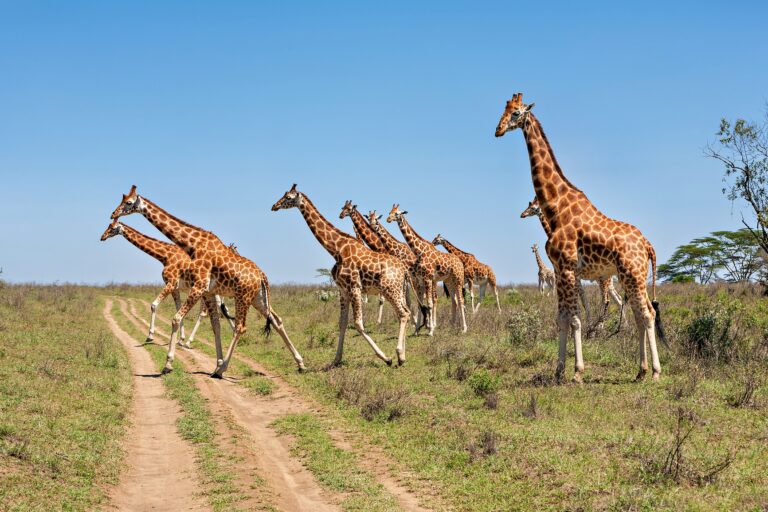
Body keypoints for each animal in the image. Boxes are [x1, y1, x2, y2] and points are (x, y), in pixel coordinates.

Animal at [99, 219, 235, 347]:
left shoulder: (171, 283)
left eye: (112, 228)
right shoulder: (175, 288)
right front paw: (181, 339)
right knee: (224, 309)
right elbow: (178, 308)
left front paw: (150, 336)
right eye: (108, 226)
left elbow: (154, 305)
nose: (102, 237)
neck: (164, 256)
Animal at [271, 185, 412, 366]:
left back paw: (399, 354)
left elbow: (358, 324)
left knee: (403, 314)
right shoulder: (343, 290)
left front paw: (386, 358)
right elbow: (342, 323)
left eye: (288, 197)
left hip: (389, 290)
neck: (336, 250)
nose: (274, 206)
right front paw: (336, 359)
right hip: (398, 290)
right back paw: (404, 355)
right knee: (407, 312)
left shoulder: (355, 287)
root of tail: (404, 270)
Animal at [386, 205, 467, 335]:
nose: (388, 219)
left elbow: (429, 303)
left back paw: (464, 328)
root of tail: (460, 262)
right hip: (449, 281)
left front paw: (431, 331)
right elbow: (423, 304)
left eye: (397, 213)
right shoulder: (422, 279)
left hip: (458, 279)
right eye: (390, 212)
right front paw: (419, 330)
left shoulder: (428, 278)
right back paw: (454, 326)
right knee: (455, 300)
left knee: (461, 300)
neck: (419, 251)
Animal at [521, 197, 625, 332]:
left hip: (603, 279)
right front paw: (585, 324)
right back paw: (621, 327)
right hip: (607, 281)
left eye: (533, 208)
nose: (522, 214)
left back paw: (600, 327)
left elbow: (581, 301)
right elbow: (583, 301)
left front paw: (585, 327)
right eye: (528, 206)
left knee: (606, 300)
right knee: (619, 299)